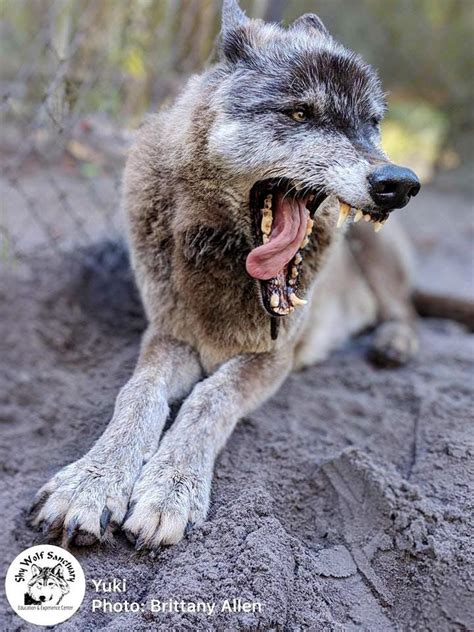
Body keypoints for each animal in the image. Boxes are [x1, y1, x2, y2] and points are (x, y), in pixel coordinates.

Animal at [31, 1, 420, 548]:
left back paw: (394, 343)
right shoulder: (168, 335)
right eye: (300, 113)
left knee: (407, 310)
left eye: (372, 123)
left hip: (375, 250)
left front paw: (169, 490)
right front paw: (91, 482)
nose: (400, 183)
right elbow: (137, 395)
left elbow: (209, 398)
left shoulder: (271, 357)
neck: (222, 262)